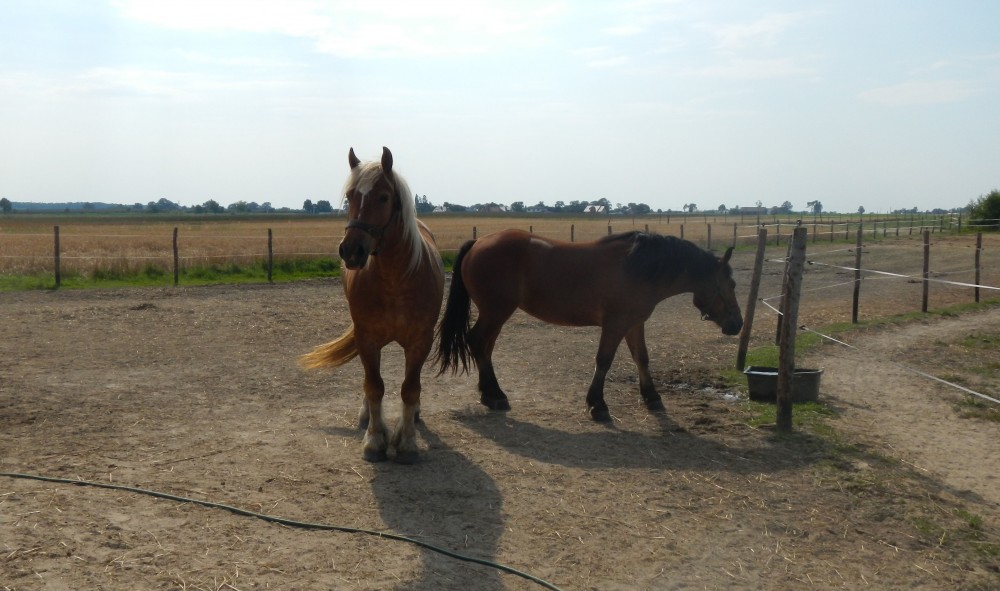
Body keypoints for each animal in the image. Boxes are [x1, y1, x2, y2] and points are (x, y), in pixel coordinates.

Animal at [300, 146, 446, 464]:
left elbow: (409, 389)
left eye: (383, 197)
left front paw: (407, 442)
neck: (395, 281)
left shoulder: (420, 342)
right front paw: (375, 440)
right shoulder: (366, 339)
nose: (351, 250)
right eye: (351, 195)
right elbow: (374, 386)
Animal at [438, 229, 744, 424]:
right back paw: (495, 395)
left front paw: (652, 397)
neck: (638, 267)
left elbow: (641, 359)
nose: (737, 324)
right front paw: (597, 405)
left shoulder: (634, 324)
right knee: (478, 342)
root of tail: (479, 241)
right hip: (496, 312)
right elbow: (604, 361)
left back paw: (489, 394)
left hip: (495, 314)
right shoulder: (615, 324)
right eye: (730, 284)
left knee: (484, 347)